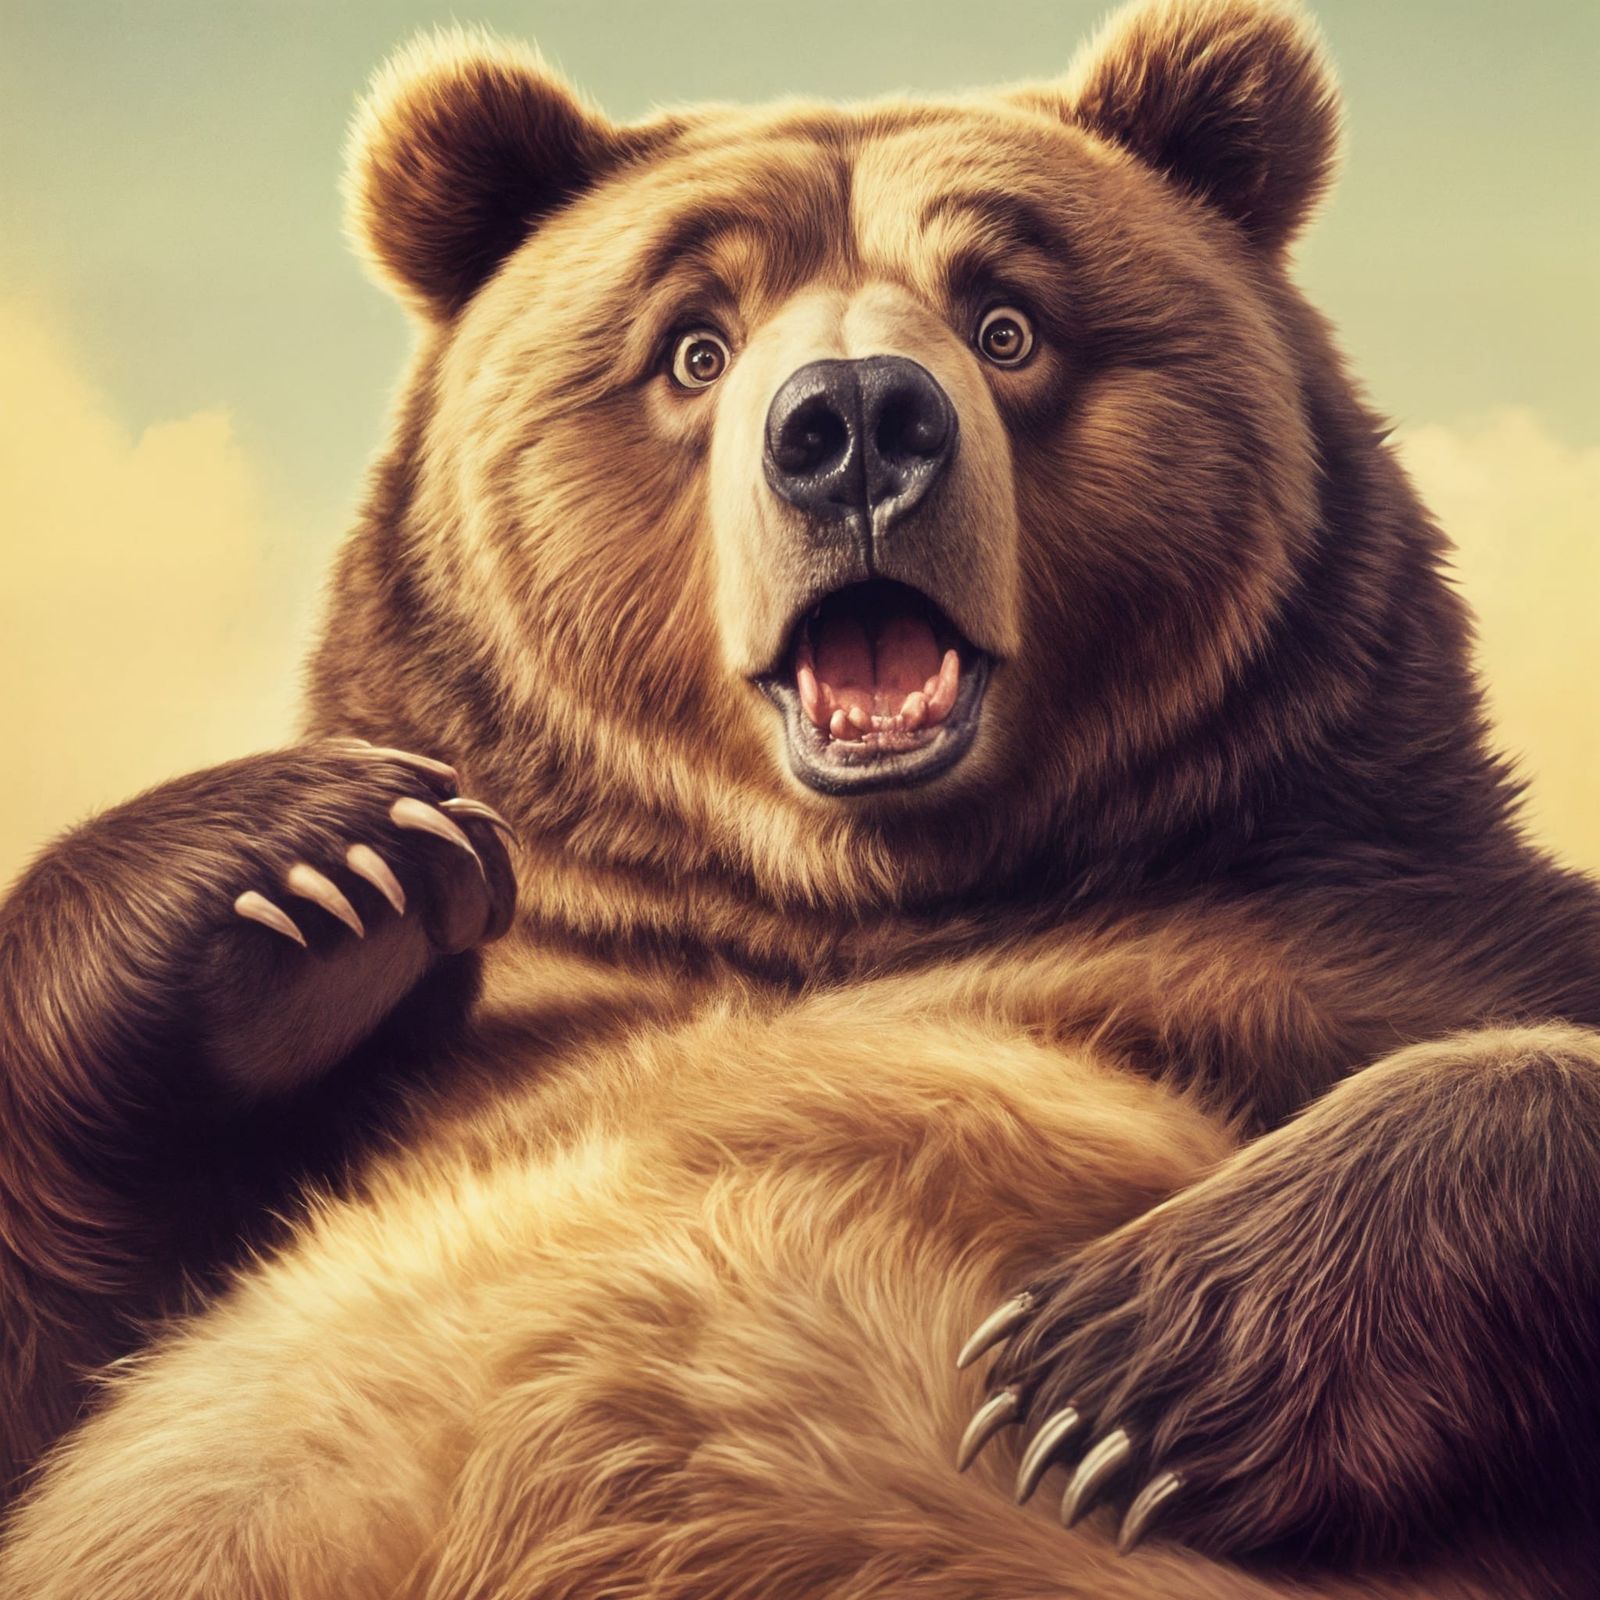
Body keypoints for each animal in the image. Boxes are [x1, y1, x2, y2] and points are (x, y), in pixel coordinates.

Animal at [1, 0, 1598, 1594]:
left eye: (1008, 320)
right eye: (693, 344)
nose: (858, 423)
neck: (850, 905)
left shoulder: (1357, 927)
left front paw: (1113, 1381)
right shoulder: (439, 1070)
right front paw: (318, 863)